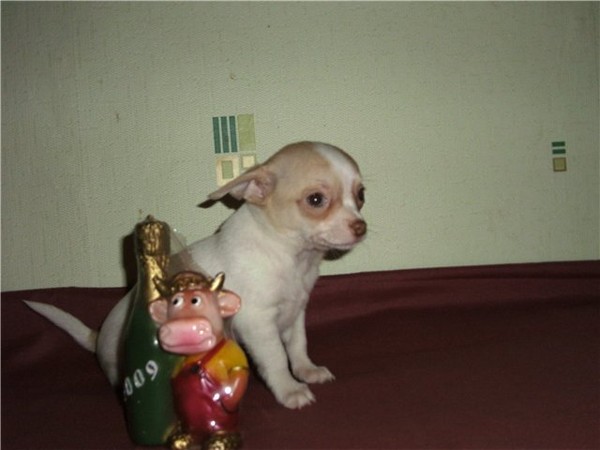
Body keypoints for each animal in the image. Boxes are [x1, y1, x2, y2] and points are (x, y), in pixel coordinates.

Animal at [25, 141, 367, 409]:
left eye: (361, 195)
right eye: (316, 200)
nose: (360, 226)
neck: (293, 256)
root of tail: (98, 336)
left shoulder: (295, 313)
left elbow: (297, 347)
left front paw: (307, 370)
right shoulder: (259, 325)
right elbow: (276, 359)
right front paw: (290, 390)